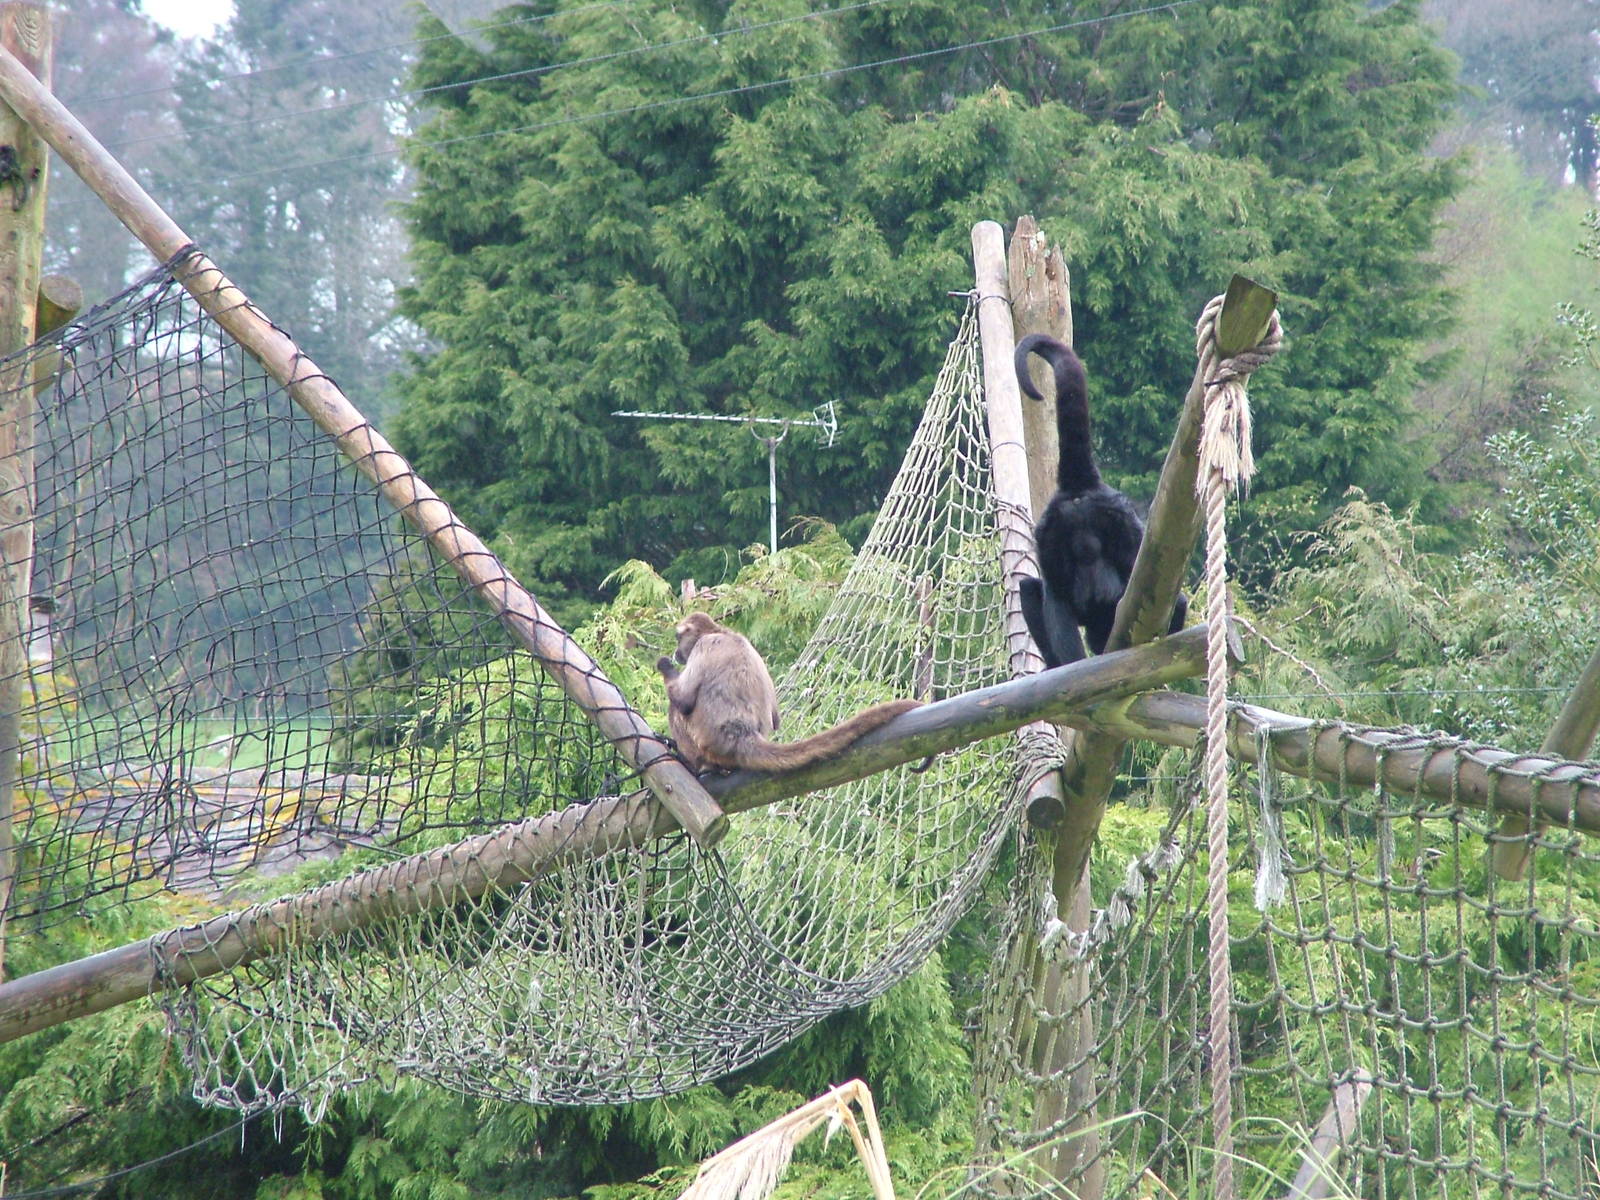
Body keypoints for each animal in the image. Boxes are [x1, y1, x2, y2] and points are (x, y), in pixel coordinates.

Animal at [656, 611, 921, 773]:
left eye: (679, 639)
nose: (677, 652)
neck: (721, 632)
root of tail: (744, 734)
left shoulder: (705, 645)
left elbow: (684, 700)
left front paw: (664, 665)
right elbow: (776, 718)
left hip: (704, 743)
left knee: (677, 710)